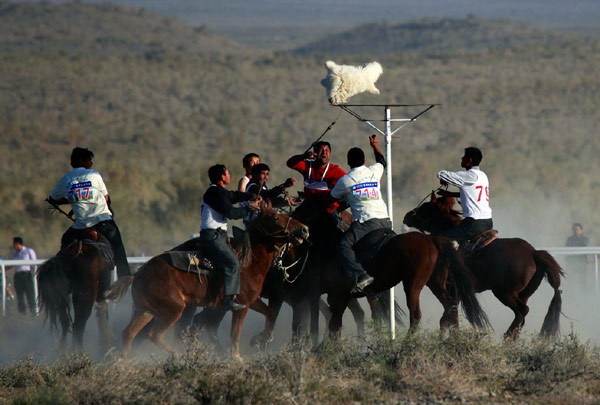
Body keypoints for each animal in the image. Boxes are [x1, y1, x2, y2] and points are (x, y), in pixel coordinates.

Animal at [120, 204, 310, 358]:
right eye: (275, 217)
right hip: (173, 309)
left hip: (146, 311)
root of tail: (138, 273)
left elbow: (271, 314)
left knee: (129, 333)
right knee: (155, 334)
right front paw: (236, 358)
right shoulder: (241, 306)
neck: (248, 262)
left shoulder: (251, 300)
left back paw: (127, 361)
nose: (304, 229)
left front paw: (259, 339)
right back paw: (176, 354)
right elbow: (235, 333)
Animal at [400, 193, 564, 338]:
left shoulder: (451, 288)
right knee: (522, 317)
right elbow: (450, 318)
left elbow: (447, 317)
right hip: (523, 294)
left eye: (426, 207)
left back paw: (507, 337)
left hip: (504, 293)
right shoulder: (456, 291)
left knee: (522, 311)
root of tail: (534, 253)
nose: (408, 215)